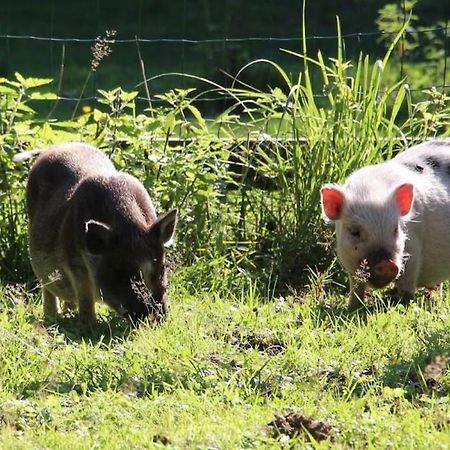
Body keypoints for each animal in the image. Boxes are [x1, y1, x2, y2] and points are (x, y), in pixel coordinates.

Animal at [322, 140, 450, 310]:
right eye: (354, 231)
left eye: (395, 229)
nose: (387, 264)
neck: (371, 190)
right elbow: (356, 288)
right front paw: (352, 308)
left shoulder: (413, 250)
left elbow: (407, 285)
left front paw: (403, 303)